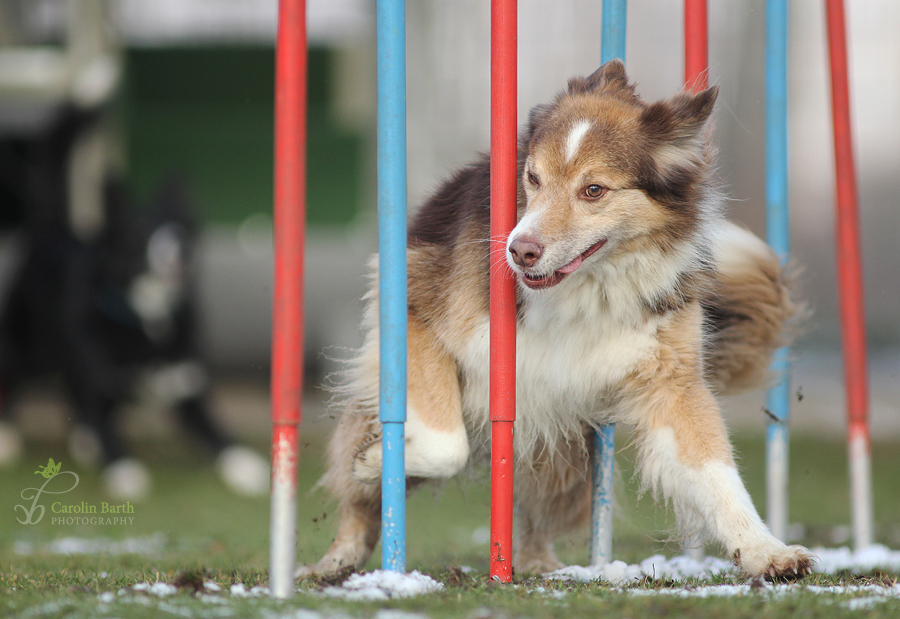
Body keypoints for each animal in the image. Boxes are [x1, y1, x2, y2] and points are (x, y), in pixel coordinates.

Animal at [304, 60, 816, 580]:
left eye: (593, 190)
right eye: (532, 178)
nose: (519, 251)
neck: (584, 288)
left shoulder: (670, 379)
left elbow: (715, 470)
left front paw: (766, 550)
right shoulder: (416, 316)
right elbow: (446, 445)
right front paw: (374, 459)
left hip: (558, 453)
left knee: (535, 512)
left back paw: (537, 565)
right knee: (365, 504)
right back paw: (335, 559)